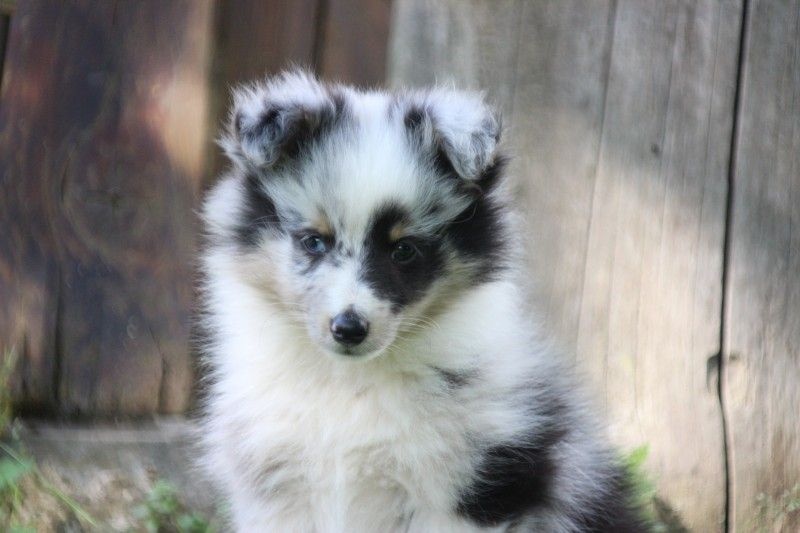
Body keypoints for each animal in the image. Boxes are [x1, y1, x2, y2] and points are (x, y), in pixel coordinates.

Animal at [196, 70, 646, 532]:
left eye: (404, 250)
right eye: (314, 241)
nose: (348, 329)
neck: (349, 384)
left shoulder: (470, 490)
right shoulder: (280, 491)